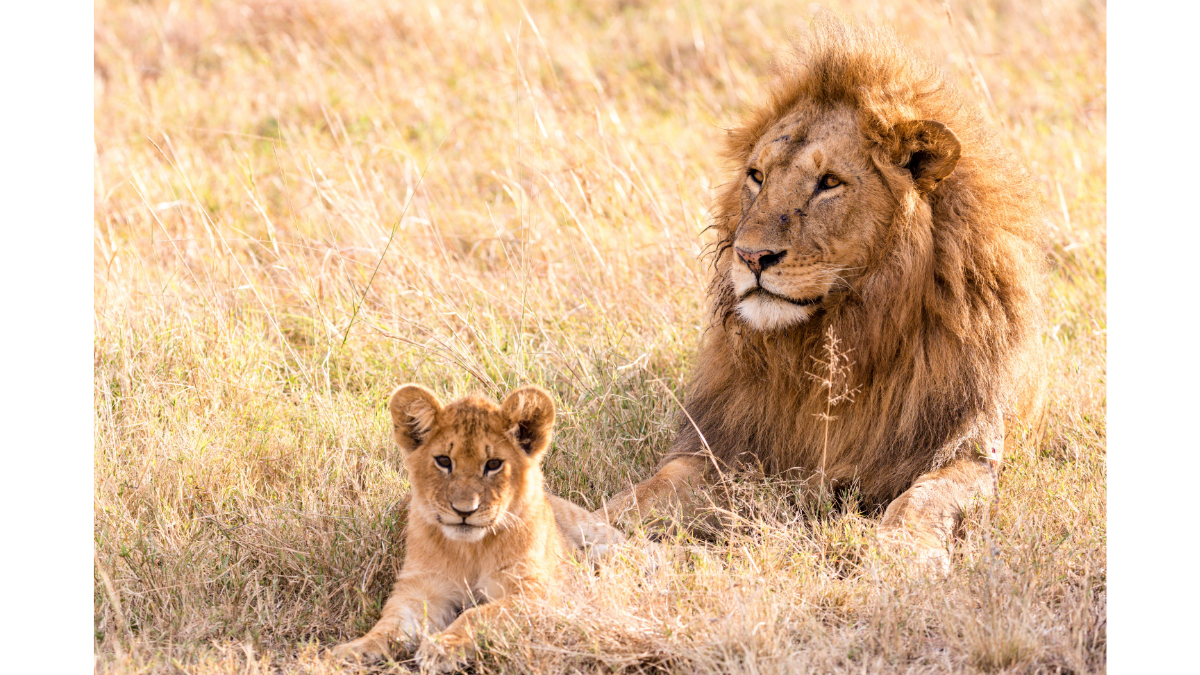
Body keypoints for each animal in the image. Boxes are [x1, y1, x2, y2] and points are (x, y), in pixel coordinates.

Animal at [604, 23, 1046, 564]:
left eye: (829, 182)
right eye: (757, 176)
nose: (750, 257)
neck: (831, 345)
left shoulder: (967, 449)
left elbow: (925, 499)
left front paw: (901, 555)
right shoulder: (723, 445)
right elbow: (650, 489)